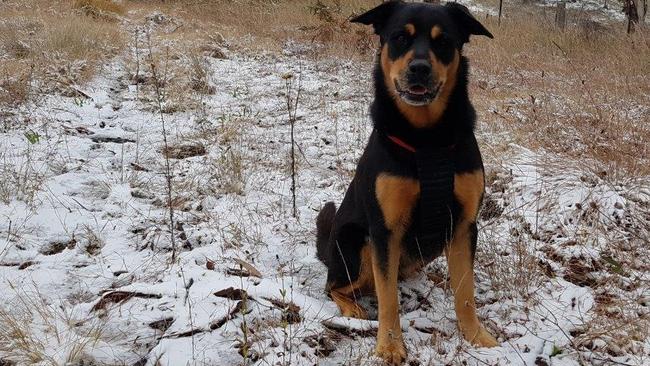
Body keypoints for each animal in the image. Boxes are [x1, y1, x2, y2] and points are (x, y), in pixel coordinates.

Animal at [316, 1, 496, 364]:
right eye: (400, 37)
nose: (420, 69)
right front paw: (389, 345)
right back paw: (352, 309)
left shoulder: (464, 225)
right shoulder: (385, 231)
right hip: (355, 242)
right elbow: (388, 300)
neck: (427, 139)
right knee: (334, 287)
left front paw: (475, 336)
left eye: (444, 42)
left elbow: (466, 292)